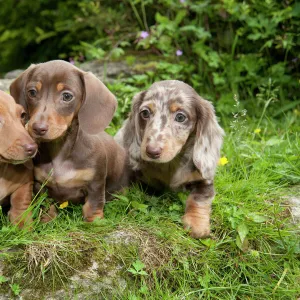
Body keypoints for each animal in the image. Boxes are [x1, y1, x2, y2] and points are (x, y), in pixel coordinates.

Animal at [9, 59, 127, 221]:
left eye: (67, 96)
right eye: (32, 92)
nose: (38, 128)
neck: (59, 151)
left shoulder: (95, 184)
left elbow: (93, 206)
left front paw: (94, 222)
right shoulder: (40, 185)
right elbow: (47, 207)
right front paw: (47, 220)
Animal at [116, 80, 224, 239]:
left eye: (180, 117)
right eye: (145, 113)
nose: (152, 151)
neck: (170, 164)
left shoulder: (204, 180)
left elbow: (199, 198)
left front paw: (197, 224)